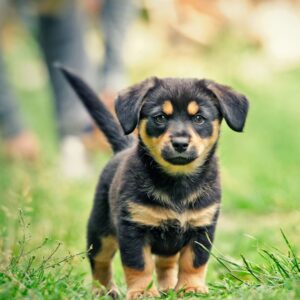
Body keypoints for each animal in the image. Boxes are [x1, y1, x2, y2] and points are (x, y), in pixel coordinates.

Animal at [58, 66, 248, 300]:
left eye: (199, 118)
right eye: (160, 118)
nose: (180, 143)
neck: (177, 182)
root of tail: (122, 148)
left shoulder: (202, 228)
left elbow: (193, 263)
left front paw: (190, 288)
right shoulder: (133, 230)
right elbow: (139, 265)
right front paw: (143, 291)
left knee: (165, 263)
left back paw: (168, 287)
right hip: (100, 230)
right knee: (100, 261)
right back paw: (102, 291)